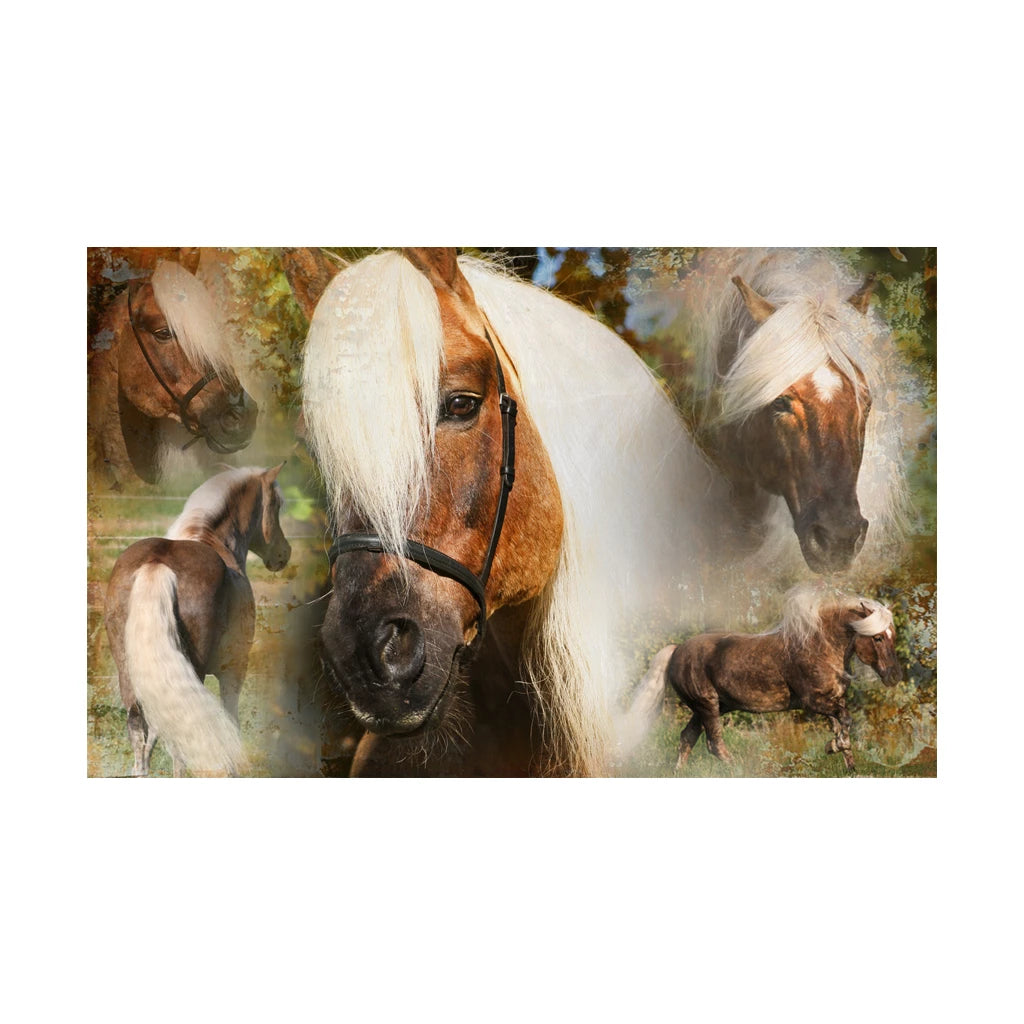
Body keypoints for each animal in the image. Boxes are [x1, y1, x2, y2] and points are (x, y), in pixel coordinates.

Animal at [104, 465, 291, 776]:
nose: (283, 554)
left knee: (140, 735)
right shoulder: (234, 670)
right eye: (276, 504)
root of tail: (157, 564)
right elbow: (231, 717)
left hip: (130, 677)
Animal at [636, 584, 901, 772]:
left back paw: (678, 772)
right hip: (707, 705)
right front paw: (834, 747)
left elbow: (841, 725)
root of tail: (677, 650)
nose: (894, 676)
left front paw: (849, 764)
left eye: (892, 635)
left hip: (708, 708)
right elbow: (845, 720)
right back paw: (739, 769)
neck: (819, 647)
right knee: (714, 744)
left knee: (687, 738)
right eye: (877, 637)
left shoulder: (834, 700)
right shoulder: (813, 702)